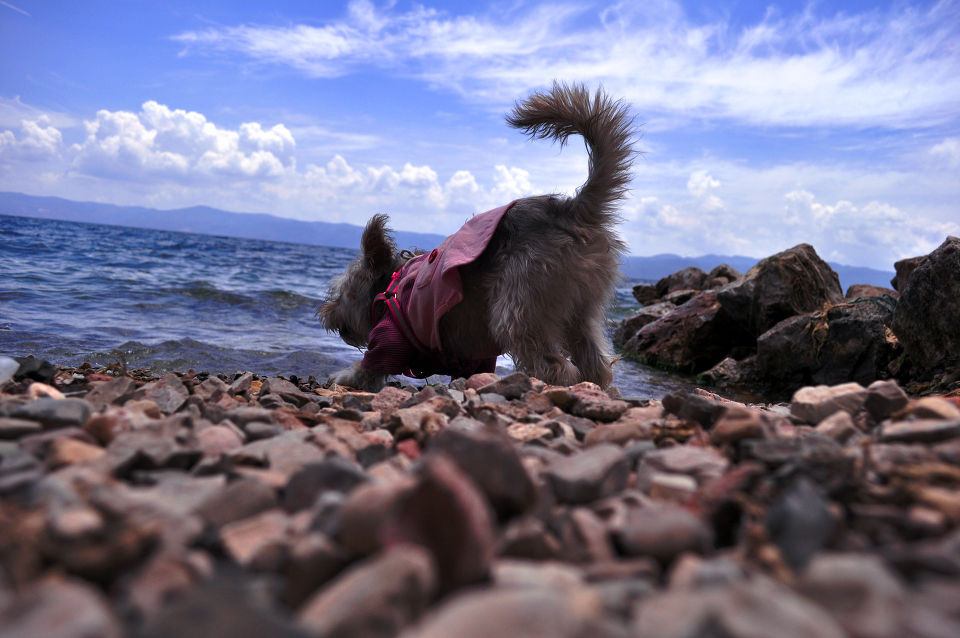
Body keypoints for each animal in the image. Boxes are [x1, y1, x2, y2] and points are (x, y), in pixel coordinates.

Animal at [319, 81, 635, 392]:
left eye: (341, 292)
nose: (326, 314)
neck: (389, 285)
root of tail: (571, 209)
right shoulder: (474, 357)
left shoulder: (391, 337)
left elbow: (371, 366)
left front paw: (344, 378)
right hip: (581, 309)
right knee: (595, 362)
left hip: (520, 301)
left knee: (554, 364)